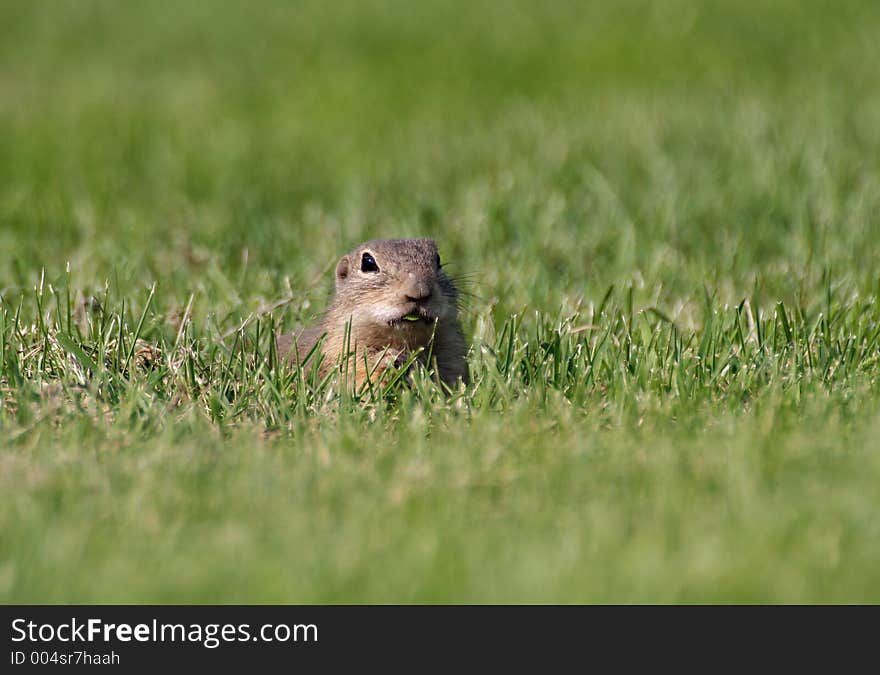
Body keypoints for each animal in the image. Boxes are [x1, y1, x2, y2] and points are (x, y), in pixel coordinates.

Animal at [276, 240, 470, 390]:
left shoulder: (451, 353)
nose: (419, 291)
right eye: (368, 263)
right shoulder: (339, 351)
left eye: (438, 260)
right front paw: (388, 359)